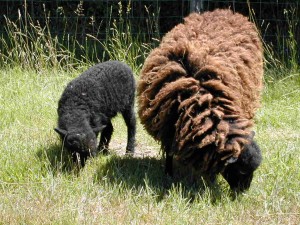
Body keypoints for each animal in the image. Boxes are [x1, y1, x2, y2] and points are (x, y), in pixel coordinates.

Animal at [137, 8, 264, 192]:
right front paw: (168, 175)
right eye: (240, 170)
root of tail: (224, 10)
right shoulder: (167, 123)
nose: (242, 193)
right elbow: (169, 152)